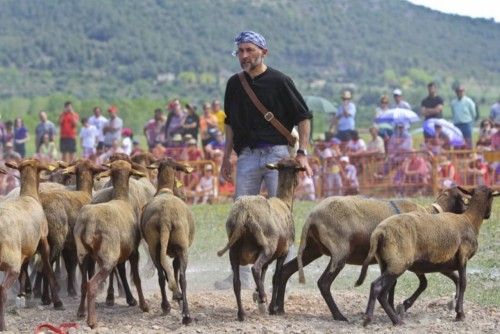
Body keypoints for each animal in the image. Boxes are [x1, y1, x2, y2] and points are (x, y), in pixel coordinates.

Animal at [0, 160, 63, 332]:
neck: (29, 195)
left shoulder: (25, 249)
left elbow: (24, 270)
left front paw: (23, 294)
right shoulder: (43, 241)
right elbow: (47, 267)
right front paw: (57, 302)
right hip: (10, 262)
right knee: (2, 291)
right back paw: (3, 325)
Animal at [142, 158, 196, 324]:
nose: (184, 196)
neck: (165, 190)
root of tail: (165, 219)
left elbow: (168, 273)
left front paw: (175, 296)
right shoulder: (177, 251)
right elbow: (175, 271)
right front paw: (177, 298)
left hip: (154, 247)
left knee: (162, 275)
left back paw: (174, 308)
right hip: (181, 246)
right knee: (182, 277)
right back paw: (182, 312)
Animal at [216, 159, 302, 320]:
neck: (284, 202)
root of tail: (243, 212)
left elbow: (264, 273)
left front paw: (257, 295)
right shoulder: (283, 252)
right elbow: (275, 277)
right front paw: (271, 307)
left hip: (234, 250)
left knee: (237, 282)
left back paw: (242, 313)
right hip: (267, 247)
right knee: (255, 269)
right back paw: (263, 298)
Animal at [270, 187, 468, 320]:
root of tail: (312, 217)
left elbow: (395, 285)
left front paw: (394, 307)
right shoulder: (413, 260)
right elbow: (424, 283)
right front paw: (401, 307)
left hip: (313, 249)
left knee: (286, 271)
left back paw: (279, 309)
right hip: (339, 253)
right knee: (323, 283)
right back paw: (339, 316)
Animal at [356, 185, 500, 326]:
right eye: (492, 198)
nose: (488, 215)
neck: (470, 220)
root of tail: (379, 232)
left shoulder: (443, 265)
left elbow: (454, 281)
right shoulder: (462, 257)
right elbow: (463, 282)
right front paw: (460, 314)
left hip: (386, 263)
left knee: (384, 291)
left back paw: (390, 318)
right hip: (398, 263)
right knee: (377, 287)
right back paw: (381, 319)